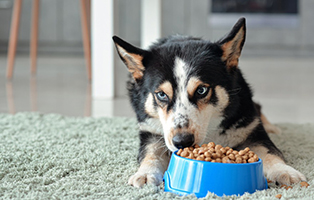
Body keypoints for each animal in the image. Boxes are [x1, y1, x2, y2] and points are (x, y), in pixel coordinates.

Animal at [111, 18, 306, 188]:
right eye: (161, 94)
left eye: (201, 90)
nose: (182, 141)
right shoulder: (151, 132)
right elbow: (150, 154)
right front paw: (145, 174)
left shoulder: (252, 131)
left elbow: (271, 153)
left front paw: (285, 171)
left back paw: (272, 126)